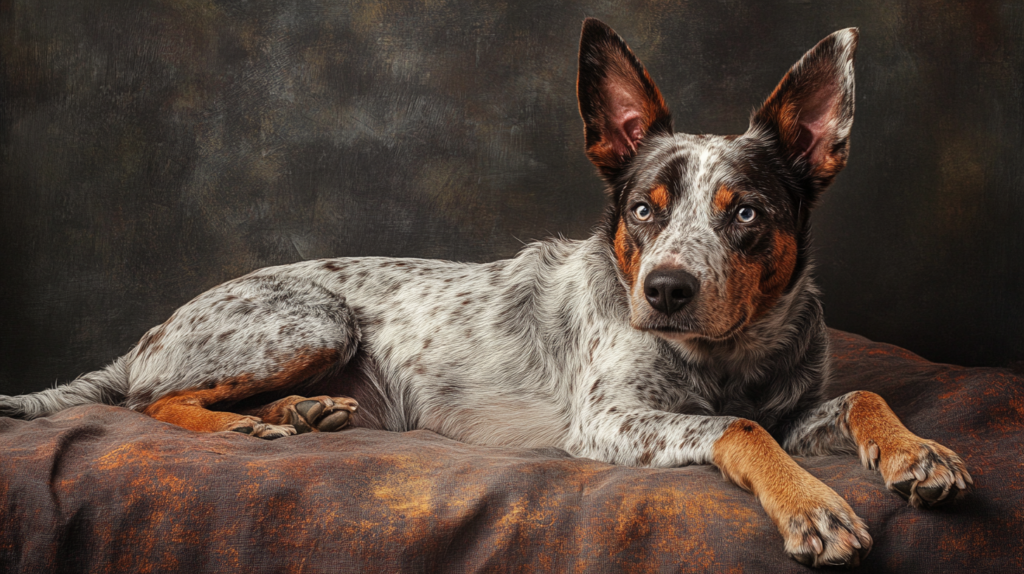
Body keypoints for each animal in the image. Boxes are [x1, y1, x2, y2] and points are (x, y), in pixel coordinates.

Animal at [4, 19, 970, 568]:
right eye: (644, 210)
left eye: (747, 214)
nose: (663, 290)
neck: (733, 355)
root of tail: (149, 330)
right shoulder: (609, 422)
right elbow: (738, 432)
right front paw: (813, 505)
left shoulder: (795, 406)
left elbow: (862, 399)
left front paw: (917, 452)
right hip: (313, 319)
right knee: (150, 402)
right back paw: (250, 425)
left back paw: (298, 416)